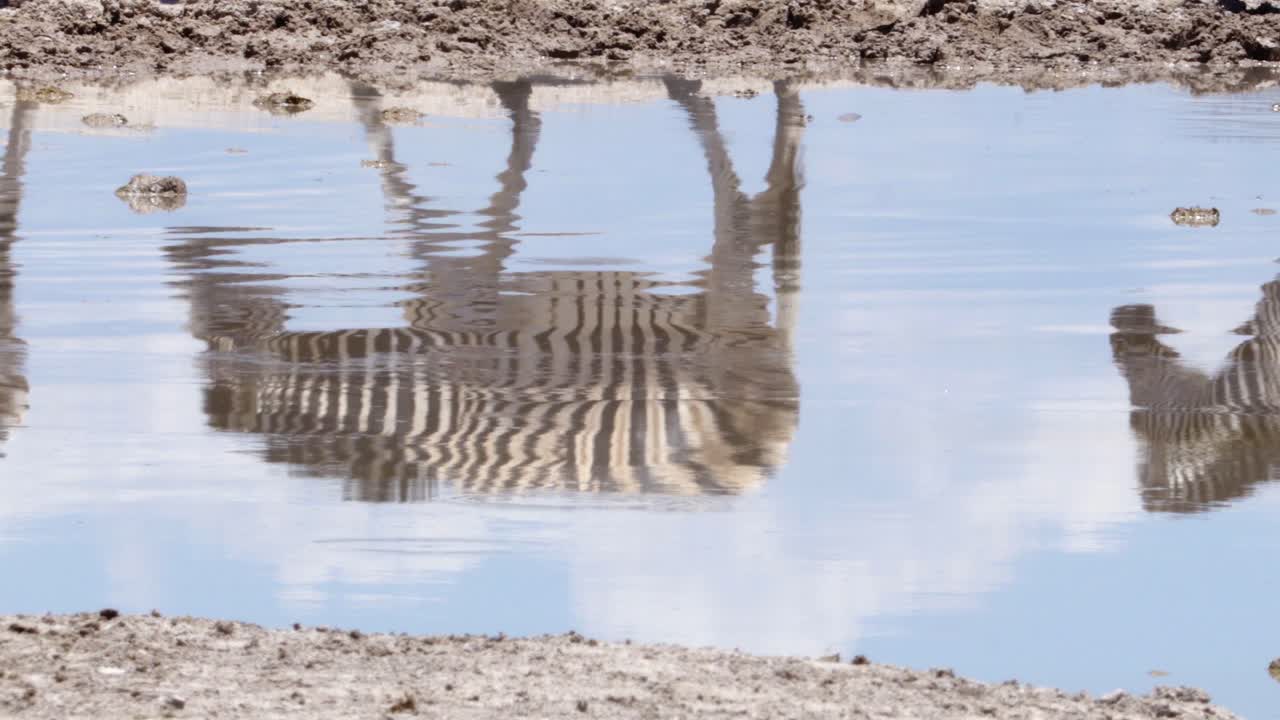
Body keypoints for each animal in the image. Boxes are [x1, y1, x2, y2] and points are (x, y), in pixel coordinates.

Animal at [167, 76, 805, 501]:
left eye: (209, 316)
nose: (175, 248)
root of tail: (764, 456)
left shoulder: (460, 288)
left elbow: (408, 199)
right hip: (741, 320)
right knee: (765, 204)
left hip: (722, 317)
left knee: (737, 212)